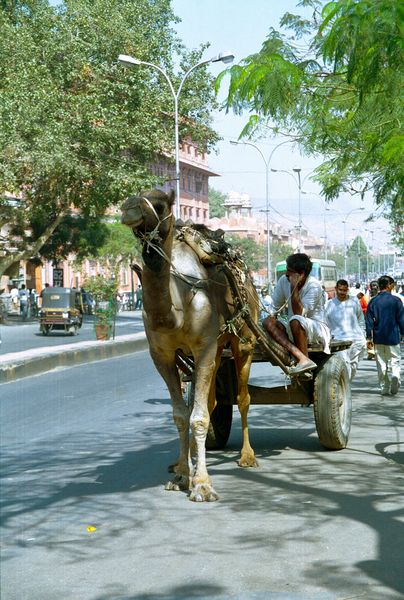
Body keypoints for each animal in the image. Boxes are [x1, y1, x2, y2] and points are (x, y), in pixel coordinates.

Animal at [120, 189, 258, 502]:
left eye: (160, 204)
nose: (127, 208)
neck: (177, 305)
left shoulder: (204, 347)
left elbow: (199, 418)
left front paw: (203, 485)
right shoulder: (161, 355)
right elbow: (182, 415)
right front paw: (183, 474)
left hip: (243, 341)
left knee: (243, 397)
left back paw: (247, 457)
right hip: (217, 348)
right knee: (212, 399)